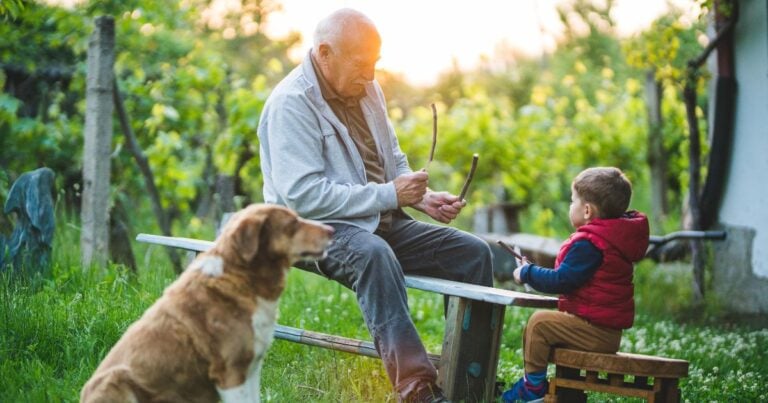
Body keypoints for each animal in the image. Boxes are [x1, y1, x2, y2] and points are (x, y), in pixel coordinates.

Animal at [80, 205, 332, 403]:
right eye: (292, 223)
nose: (331, 230)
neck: (241, 279)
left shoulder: (250, 369)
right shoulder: (230, 372)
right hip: (117, 379)